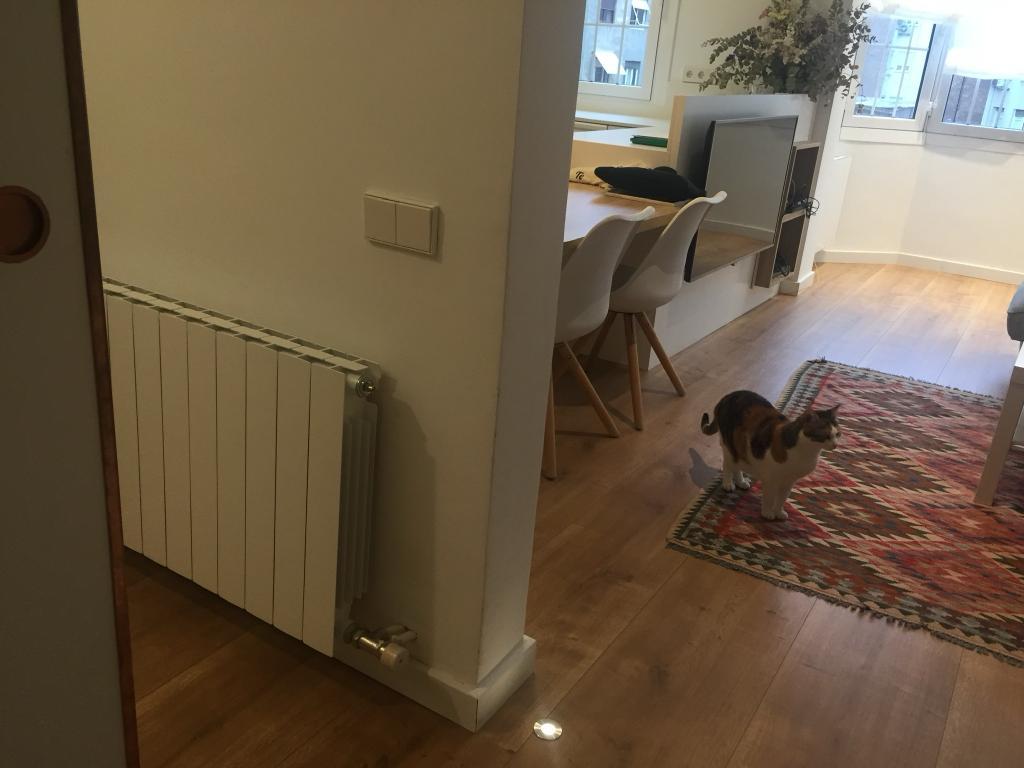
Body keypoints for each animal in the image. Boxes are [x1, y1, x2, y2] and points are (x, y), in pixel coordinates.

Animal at [700, 391, 841, 521]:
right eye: (826, 436)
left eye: (838, 434)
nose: (835, 445)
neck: (807, 453)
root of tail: (728, 396)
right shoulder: (771, 480)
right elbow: (769, 497)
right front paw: (767, 513)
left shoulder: (789, 482)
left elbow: (781, 499)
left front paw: (779, 513)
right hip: (729, 445)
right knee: (727, 464)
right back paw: (728, 483)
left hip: (740, 448)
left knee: (737, 464)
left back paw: (741, 482)